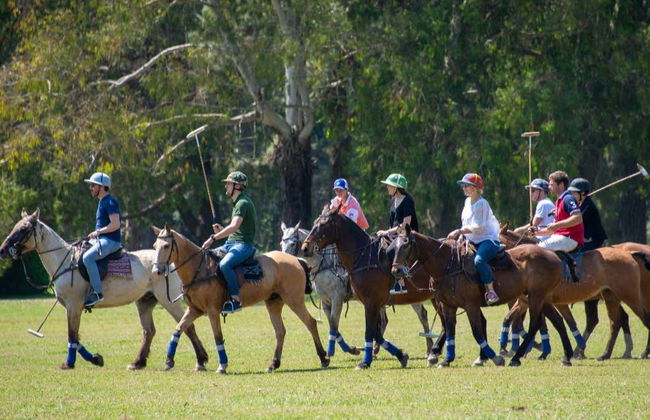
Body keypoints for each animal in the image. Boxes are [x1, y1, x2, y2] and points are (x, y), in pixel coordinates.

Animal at [0, 210, 209, 370]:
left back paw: (201, 360)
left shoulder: (73, 305)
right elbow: (76, 337)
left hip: (168, 299)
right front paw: (96, 358)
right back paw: (137, 362)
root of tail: (170, 263)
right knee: (149, 331)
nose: (2, 250)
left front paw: (69, 364)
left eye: (24, 229)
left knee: (186, 325)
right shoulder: (73, 307)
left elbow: (72, 335)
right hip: (144, 301)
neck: (65, 262)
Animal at [152, 225, 329, 373]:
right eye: (154, 246)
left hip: (294, 300)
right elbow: (179, 329)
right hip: (273, 302)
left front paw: (222, 365)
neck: (199, 269)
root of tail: (297, 260)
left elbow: (217, 336)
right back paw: (273, 364)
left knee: (311, 323)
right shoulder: (194, 309)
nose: (156, 271)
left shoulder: (212, 310)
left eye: (166, 246)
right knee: (280, 331)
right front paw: (169, 361)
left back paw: (323, 357)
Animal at [281, 221, 442, 363]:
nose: (284, 260)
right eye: (282, 243)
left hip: (413, 296)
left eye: (293, 243)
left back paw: (429, 350)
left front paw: (342, 350)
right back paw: (377, 350)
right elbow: (333, 325)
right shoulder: (327, 301)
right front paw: (353, 349)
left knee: (422, 315)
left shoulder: (337, 298)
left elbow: (334, 323)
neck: (324, 264)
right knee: (386, 321)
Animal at [390, 223, 577, 367]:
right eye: (393, 246)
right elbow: (450, 331)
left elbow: (477, 331)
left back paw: (516, 358)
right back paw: (566, 357)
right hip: (541, 297)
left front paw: (494, 357)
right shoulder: (448, 305)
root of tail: (553, 254)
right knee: (558, 321)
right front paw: (446, 360)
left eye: (406, 245)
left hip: (536, 297)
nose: (396, 271)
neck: (448, 265)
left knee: (534, 324)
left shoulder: (471, 305)